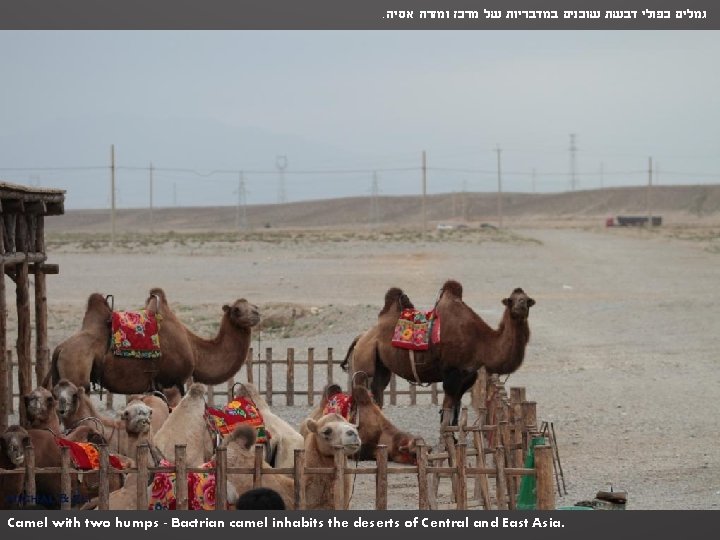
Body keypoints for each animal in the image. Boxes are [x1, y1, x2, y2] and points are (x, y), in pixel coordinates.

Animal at [344, 280, 536, 424]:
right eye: (511, 300)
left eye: (527, 300)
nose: (521, 306)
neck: (480, 342)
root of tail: (360, 337)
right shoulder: (452, 374)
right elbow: (446, 413)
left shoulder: (467, 376)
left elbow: (455, 415)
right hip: (364, 362)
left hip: (381, 366)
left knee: (377, 393)